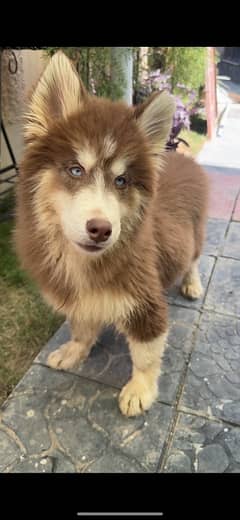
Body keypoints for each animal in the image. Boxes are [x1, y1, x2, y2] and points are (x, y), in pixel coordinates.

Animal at [15, 51, 208, 418]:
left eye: (121, 181)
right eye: (76, 170)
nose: (101, 230)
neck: (85, 263)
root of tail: (181, 158)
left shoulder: (146, 303)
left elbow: (145, 355)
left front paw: (139, 390)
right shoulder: (75, 297)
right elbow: (81, 326)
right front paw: (74, 351)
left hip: (196, 234)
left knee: (192, 260)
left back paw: (192, 284)